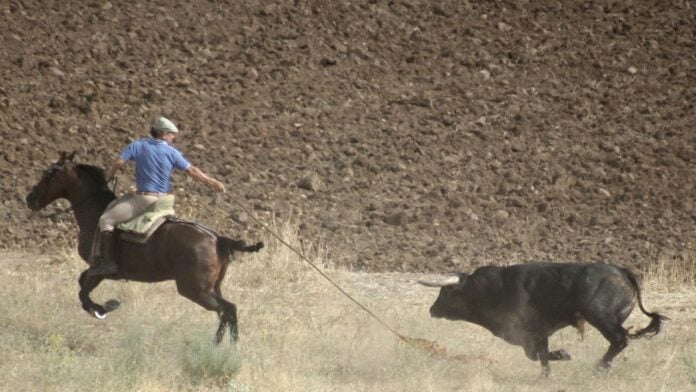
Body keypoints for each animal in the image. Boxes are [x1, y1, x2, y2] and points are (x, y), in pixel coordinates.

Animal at [25, 152, 262, 342]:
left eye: (49, 174)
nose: (30, 198)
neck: (96, 211)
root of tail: (217, 238)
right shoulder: (98, 271)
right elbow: (82, 286)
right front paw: (100, 308)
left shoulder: (100, 269)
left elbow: (83, 290)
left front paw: (103, 308)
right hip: (211, 288)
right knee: (227, 311)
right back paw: (224, 346)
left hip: (195, 289)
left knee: (227, 309)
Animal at [418, 262, 668, 376]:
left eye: (445, 292)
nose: (431, 310)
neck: (493, 290)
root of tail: (621, 270)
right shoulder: (529, 337)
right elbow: (537, 355)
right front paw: (561, 356)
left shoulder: (535, 332)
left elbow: (540, 356)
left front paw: (554, 365)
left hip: (599, 316)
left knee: (619, 339)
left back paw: (599, 366)